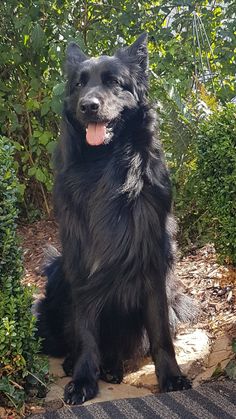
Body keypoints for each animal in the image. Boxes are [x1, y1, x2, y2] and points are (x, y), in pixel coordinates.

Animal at [37, 33, 195, 406]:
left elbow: (160, 333)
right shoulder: (80, 264)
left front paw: (171, 377)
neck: (105, 167)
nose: (89, 106)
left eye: (113, 83)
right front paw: (83, 379)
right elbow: (86, 331)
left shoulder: (152, 265)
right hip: (57, 270)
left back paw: (112, 366)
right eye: (80, 84)